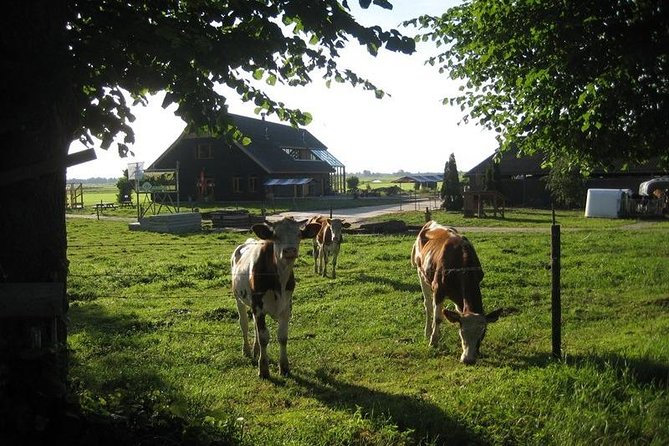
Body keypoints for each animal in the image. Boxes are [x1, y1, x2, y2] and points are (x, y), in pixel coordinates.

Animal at [232, 218, 320, 378]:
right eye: (276, 236)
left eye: (299, 234)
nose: (290, 250)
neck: (279, 278)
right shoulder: (259, 307)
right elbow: (264, 337)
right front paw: (263, 368)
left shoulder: (286, 307)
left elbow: (282, 337)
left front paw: (284, 366)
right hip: (239, 299)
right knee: (244, 324)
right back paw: (247, 350)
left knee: (254, 326)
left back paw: (256, 350)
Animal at [408, 221, 500, 364]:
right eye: (462, 332)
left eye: (483, 333)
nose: (468, 359)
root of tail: (430, 223)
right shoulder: (438, 289)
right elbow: (438, 318)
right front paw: (433, 341)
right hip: (421, 274)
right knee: (428, 306)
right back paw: (428, 331)